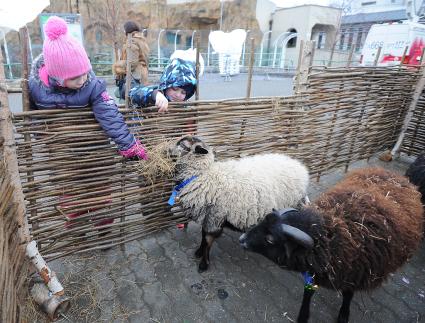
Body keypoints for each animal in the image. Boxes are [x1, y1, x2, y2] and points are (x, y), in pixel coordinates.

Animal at [168, 135, 308, 272]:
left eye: (183, 145)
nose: (167, 150)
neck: (201, 175)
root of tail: (300, 167)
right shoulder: (207, 216)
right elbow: (203, 236)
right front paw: (198, 252)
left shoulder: (215, 216)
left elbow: (208, 240)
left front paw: (204, 264)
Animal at [238, 168, 420, 323]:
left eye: (270, 238)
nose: (242, 239)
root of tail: (391, 173)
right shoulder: (314, 271)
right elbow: (308, 293)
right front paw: (303, 316)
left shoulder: (354, 274)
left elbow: (348, 295)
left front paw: (343, 315)